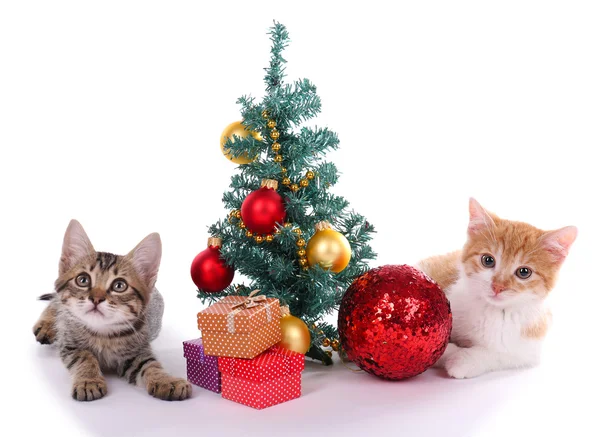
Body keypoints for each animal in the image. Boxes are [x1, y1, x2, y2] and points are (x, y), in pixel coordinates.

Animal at [32, 220, 192, 400]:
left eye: (119, 285)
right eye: (83, 280)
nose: (96, 299)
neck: (102, 333)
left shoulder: (137, 352)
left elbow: (150, 365)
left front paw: (166, 380)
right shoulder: (70, 344)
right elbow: (84, 357)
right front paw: (89, 381)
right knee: (55, 302)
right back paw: (46, 325)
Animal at [418, 198, 576, 378]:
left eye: (524, 272)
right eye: (488, 260)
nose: (498, 286)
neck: (491, 310)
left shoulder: (530, 348)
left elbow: (502, 354)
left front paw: (462, 360)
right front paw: (450, 352)